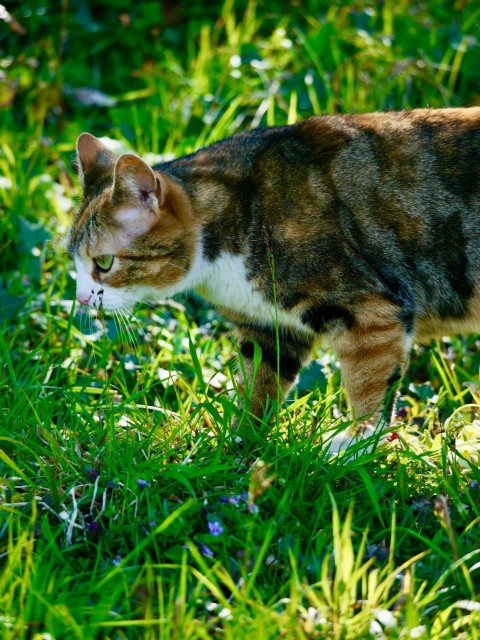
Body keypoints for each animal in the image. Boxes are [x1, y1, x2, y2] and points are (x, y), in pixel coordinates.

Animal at [66, 109, 480, 450]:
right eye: (73, 259)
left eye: (104, 262)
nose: (82, 299)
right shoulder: (268, 325)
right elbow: (260, 383)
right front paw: (242, 441)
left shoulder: (372, 311)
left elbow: (371, 387)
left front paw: (357, 446)